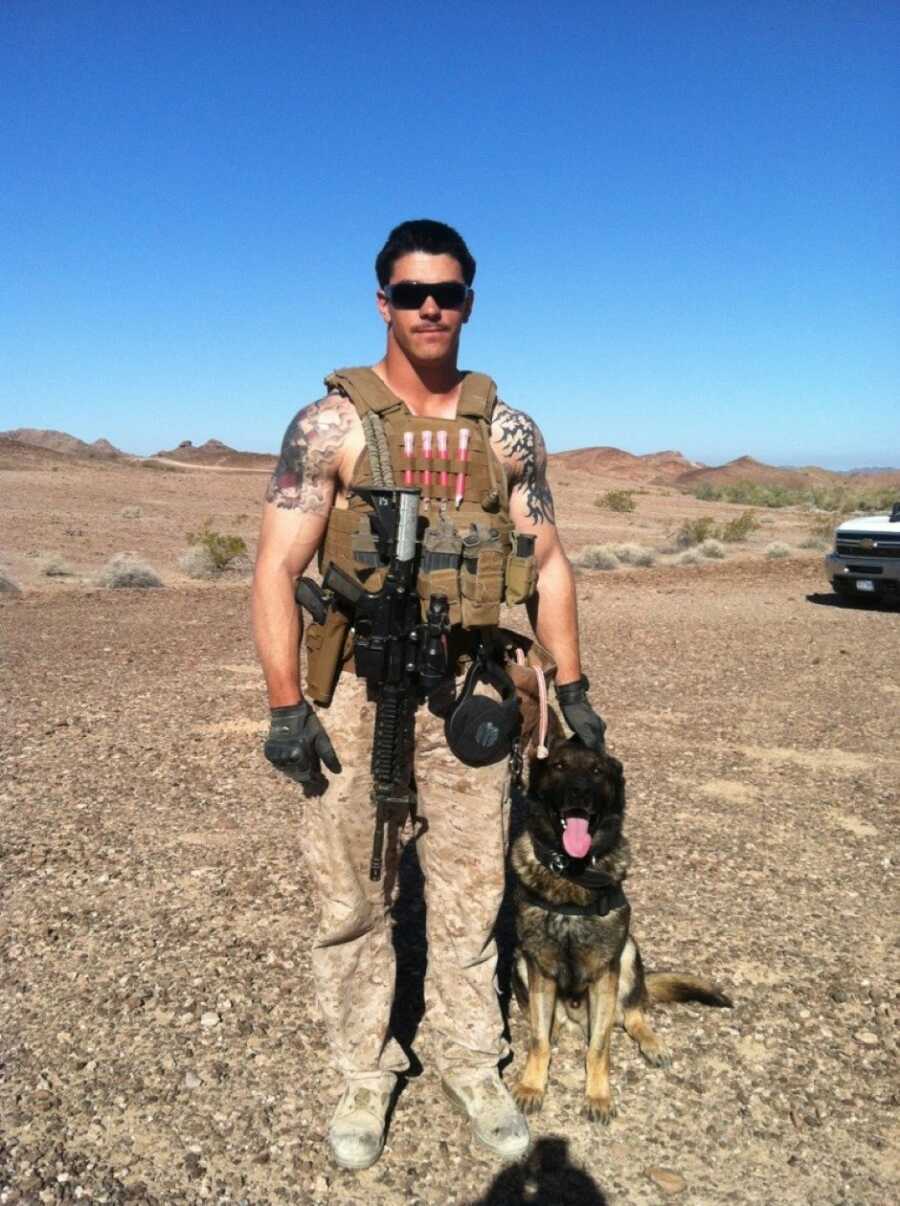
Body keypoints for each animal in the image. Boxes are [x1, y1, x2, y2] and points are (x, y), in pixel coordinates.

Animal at [504, 660, 728, 1119]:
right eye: (558, 767)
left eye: (596, 772)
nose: (579, 793)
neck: (571, 873)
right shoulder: (538, 966)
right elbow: (537, 1039)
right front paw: (533, 1085)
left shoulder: (606, 972)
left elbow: (600, 1045)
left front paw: (598, 1094)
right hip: (521, 963)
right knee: (556, 1025)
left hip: (627, 954)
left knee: (634, 1013)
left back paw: (652, 1042)